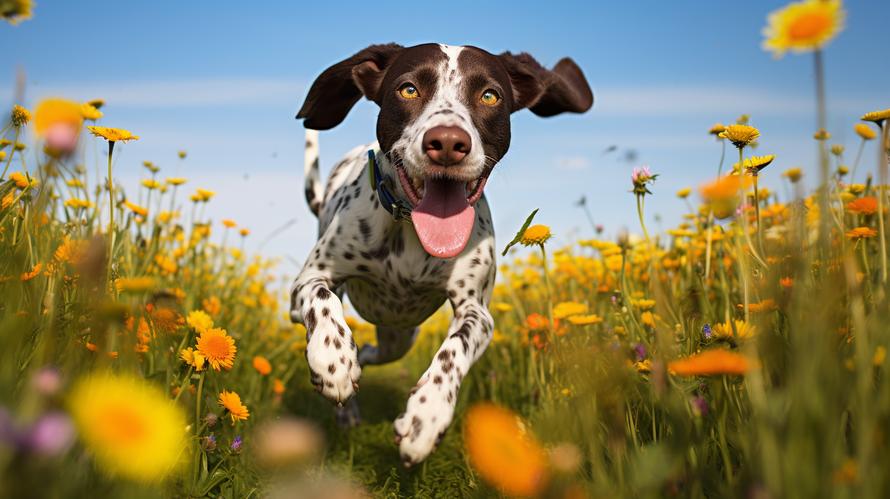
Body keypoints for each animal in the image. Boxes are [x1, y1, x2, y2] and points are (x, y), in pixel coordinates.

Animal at [290, 43, 588, 464]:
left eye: (490, 95)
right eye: (408, 89)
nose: (447, 142)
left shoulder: (476, 311)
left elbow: (454, 349)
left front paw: (427, 413)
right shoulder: (308, 281)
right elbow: (321, 298)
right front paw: (332, 358)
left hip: (400, 337)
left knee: (374, 351)